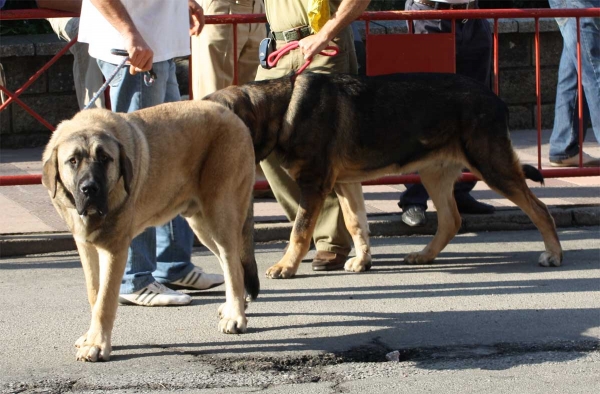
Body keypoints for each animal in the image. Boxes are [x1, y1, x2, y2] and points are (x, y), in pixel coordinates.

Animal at [42, 100, 258, 362]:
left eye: (105, 158)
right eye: (73, 161)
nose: (89, 189)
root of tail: (233, 116)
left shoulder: (115, 249)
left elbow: (105, 301)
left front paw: (97, 344)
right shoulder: (85, 246)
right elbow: (95, 293)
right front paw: (91, 336)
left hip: (220, 214)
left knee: (233, 265)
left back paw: (236, 316)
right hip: (202, 224)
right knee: (232, 265)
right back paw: (234, 308)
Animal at [206, 71, 564, 280]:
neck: (280, 110)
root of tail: (496, 98)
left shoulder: (315, 184)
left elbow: (300, 230)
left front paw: (287, 266)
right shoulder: (344, 182)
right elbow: (356, 225)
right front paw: (363, 261)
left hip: (491, 165)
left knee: (539, 209)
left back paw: (554, 254)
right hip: (433, 173)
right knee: (451, 220)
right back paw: (424, 255)